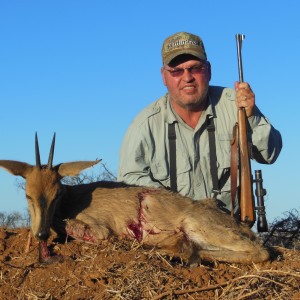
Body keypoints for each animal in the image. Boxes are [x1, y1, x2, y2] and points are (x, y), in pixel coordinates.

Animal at [0, 134, 270, 264]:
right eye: (28, 195)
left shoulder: (100, 229)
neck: (70, 199)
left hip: (196, 225)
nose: (41, 234)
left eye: (57, 194)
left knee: (261, 252)